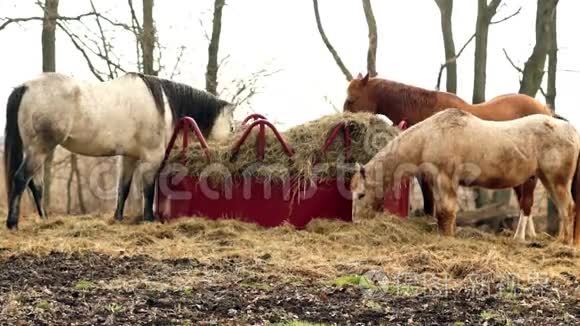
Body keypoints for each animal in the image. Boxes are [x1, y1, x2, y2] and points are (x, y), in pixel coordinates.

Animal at [4, 72, 236, 229]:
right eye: (232, 125)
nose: (233, 137)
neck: (160, 104)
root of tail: (25, 87)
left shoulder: (129, 158)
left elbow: (122, 188)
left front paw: (118, 218)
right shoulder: (151, 159)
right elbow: (148, 189)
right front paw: (148, 219)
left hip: (35, 150)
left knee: (35, 185)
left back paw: (44, 218)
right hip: (40, 149)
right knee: (21, 179)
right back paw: (12, 223)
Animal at [344, 73, 556, 239]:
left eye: (352, 99)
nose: (347, 122)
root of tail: (545, 111)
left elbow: (430, 201)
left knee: (526, 202)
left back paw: (520, 236)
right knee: (524, 201)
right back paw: (529, 234)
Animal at [348, 109, 580, 247]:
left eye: (361, 195)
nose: (357, 221)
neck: (430, 137)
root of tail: (570, 129)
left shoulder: (446, 179)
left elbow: (447, 211)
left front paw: (448, 238)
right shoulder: (437, 182)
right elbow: (442, 213)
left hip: (557, 180)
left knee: (568, 208)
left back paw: (564, 243)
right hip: (547, 180)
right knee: (563, 209)